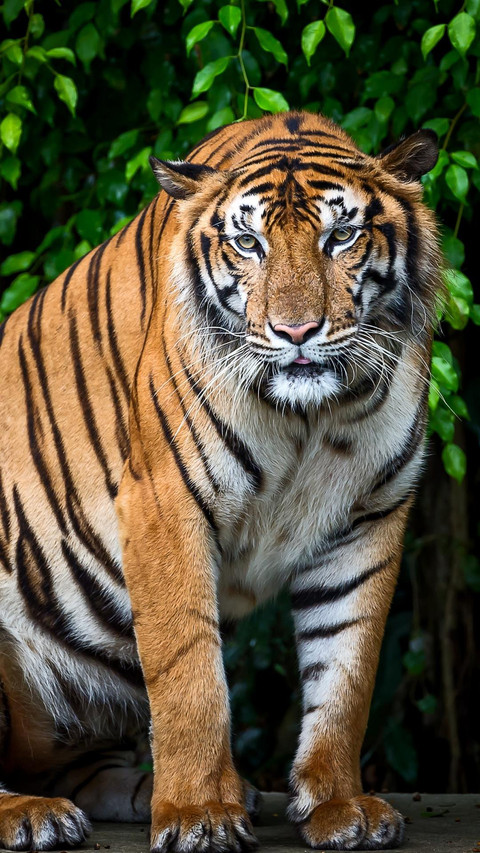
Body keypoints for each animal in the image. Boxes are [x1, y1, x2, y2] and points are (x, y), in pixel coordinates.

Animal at [0, 109, 440, 851]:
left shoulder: (368, 515)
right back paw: (32, 814)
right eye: (247, 242)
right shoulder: (163, 502)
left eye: (341, 235)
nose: (297, 331)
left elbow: (346, 670)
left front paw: (339, 806)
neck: (309, 417)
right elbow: (190, 676)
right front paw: (199, 814)